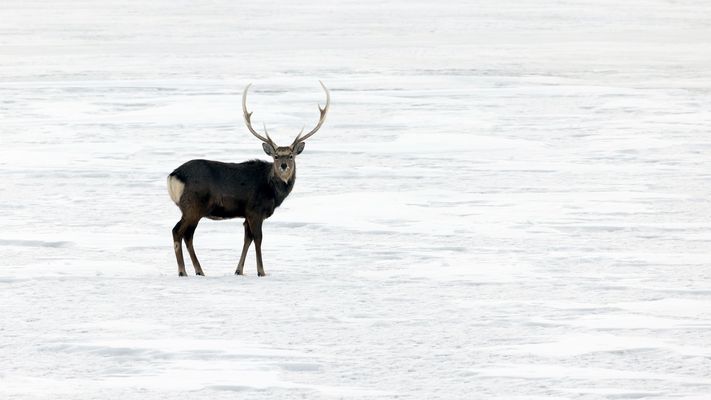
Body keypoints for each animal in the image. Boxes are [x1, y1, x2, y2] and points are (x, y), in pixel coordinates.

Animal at [167, 81, 330, 277]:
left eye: (291, 156)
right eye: (276, 156)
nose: (283, 166)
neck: (273, 192)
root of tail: (173, 175)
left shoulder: (246, 215)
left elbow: (247, 239)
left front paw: (239, 270)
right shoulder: (255, 210)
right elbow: (258, 239)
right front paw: (261, 271)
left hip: (193, 209)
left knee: (188, 235)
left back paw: (199, 271)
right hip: (193, 205)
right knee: (177, 231)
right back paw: (182, 271)